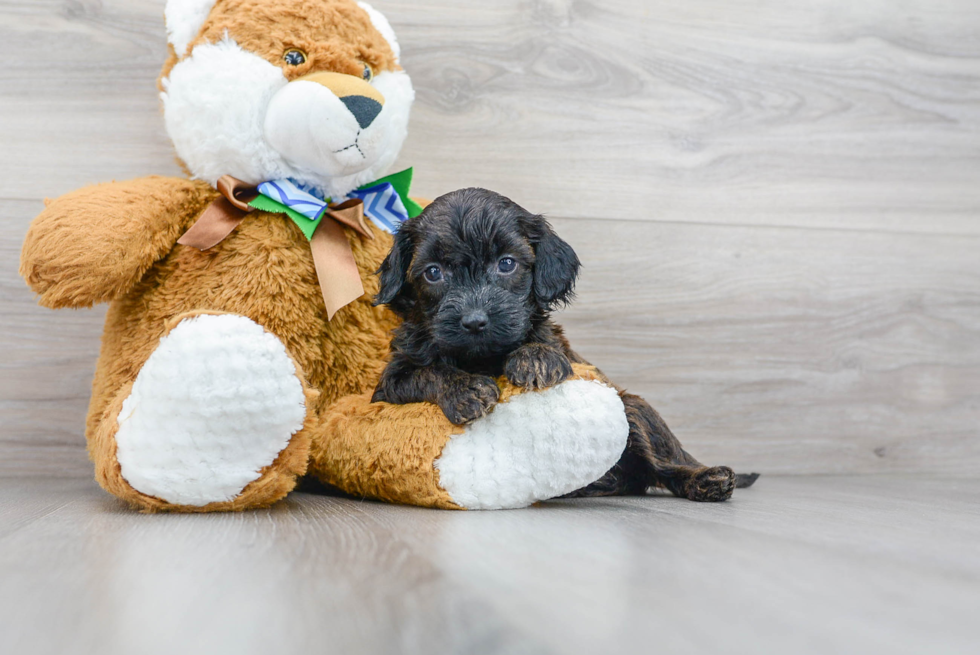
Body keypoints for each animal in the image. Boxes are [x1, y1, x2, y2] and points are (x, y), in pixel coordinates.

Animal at [370, 188, 756, 502]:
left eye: (507, 264)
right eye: (433, 272)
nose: (475, 321)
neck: (481, 358)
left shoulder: (564, 350)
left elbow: (545, 345)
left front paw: (536, 358)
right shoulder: (390, 382)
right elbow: (428, 372)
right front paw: (464, 389)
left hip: (634, 408)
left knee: (663, 465)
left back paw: (704, 478)